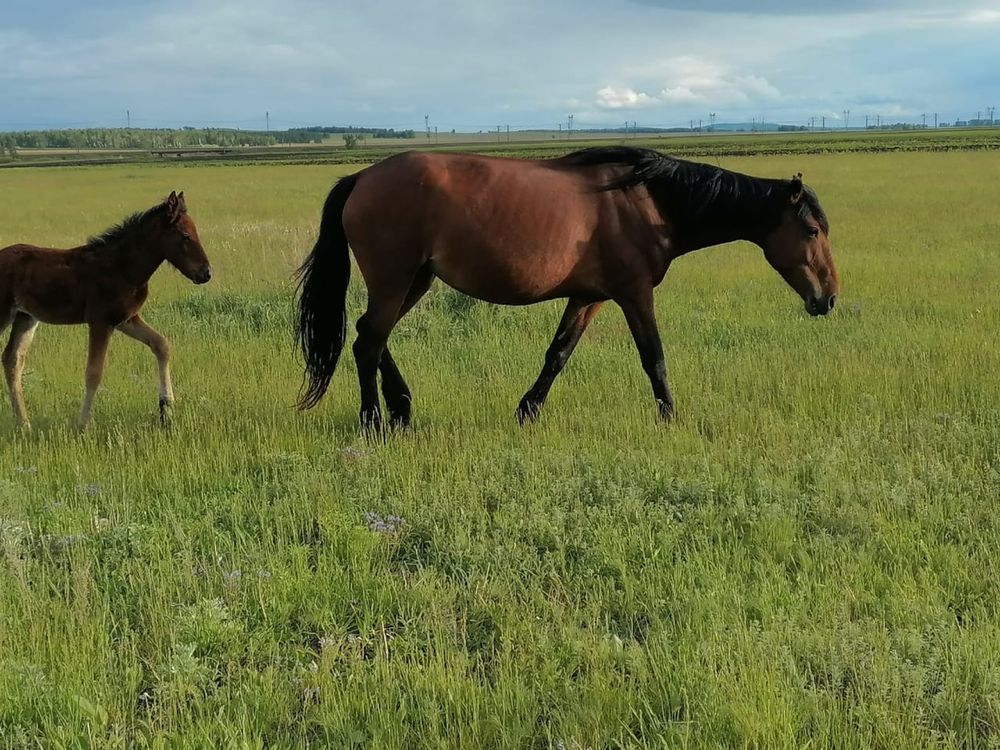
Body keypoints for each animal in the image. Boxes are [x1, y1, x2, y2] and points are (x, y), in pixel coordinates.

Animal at [0, 191, 211, 432]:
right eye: (185, 235)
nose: (206, 273)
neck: (123, 267)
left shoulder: (126, 319)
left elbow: (162, 345)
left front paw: (166, 410)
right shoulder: (100, 321)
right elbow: (94, 372)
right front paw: (83, 425)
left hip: (25, 317)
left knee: (12, 360)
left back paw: (24, 424)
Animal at [294, 148, 836, 428]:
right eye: (812, 231)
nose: (828, 298)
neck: (647, 200)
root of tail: (361, 177)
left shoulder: (589, 296)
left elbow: (558, 353)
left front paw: (527, 411)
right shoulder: (634, 293)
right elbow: (654, 357)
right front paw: (670, 417)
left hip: (415, 280)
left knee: (369, 333)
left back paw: (402, 407)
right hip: (395, 279)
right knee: (368, 341)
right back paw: (373, 420)